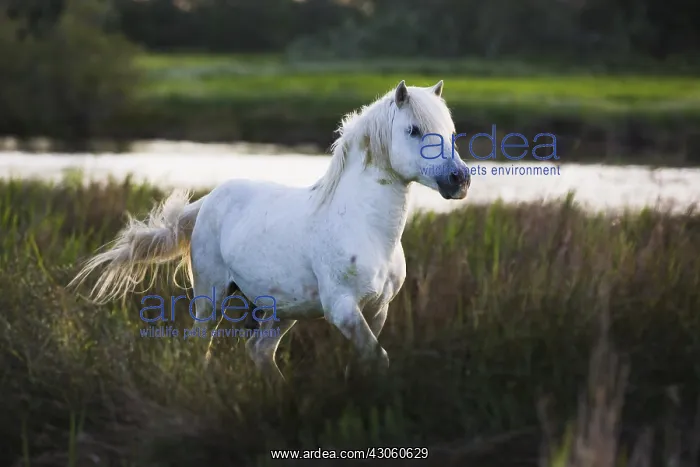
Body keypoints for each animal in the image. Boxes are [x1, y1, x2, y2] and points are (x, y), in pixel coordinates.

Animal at [69, 80, 471, 382]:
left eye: (450, 132)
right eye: (414, 130)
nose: (460, 179)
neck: (366, 228)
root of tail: (208, 200)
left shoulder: (377, 310)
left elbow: (369, 360)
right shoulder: (342, 308)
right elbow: (378, 358)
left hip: (281, 310)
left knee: (259, 351)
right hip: (211, 296)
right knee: (202, 344)